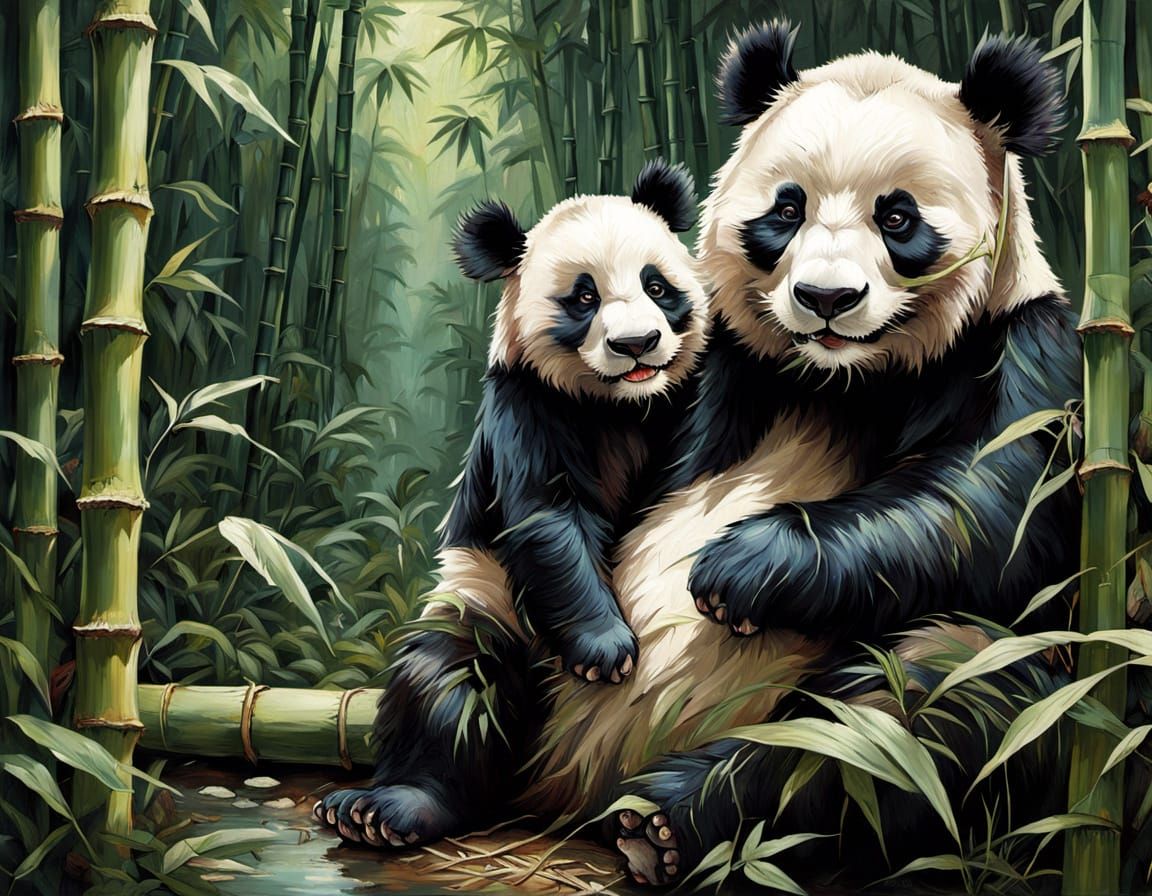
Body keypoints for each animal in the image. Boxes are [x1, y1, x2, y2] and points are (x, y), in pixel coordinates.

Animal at [313, 159, 709, 844]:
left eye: (656, 285)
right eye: (584, 297)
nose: (637, 344)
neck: (618, 406)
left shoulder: (677, 402)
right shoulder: (526, 410)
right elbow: (547, 521)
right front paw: (605, 650)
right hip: (483, 600)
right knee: (448, 689)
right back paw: (385, 809)